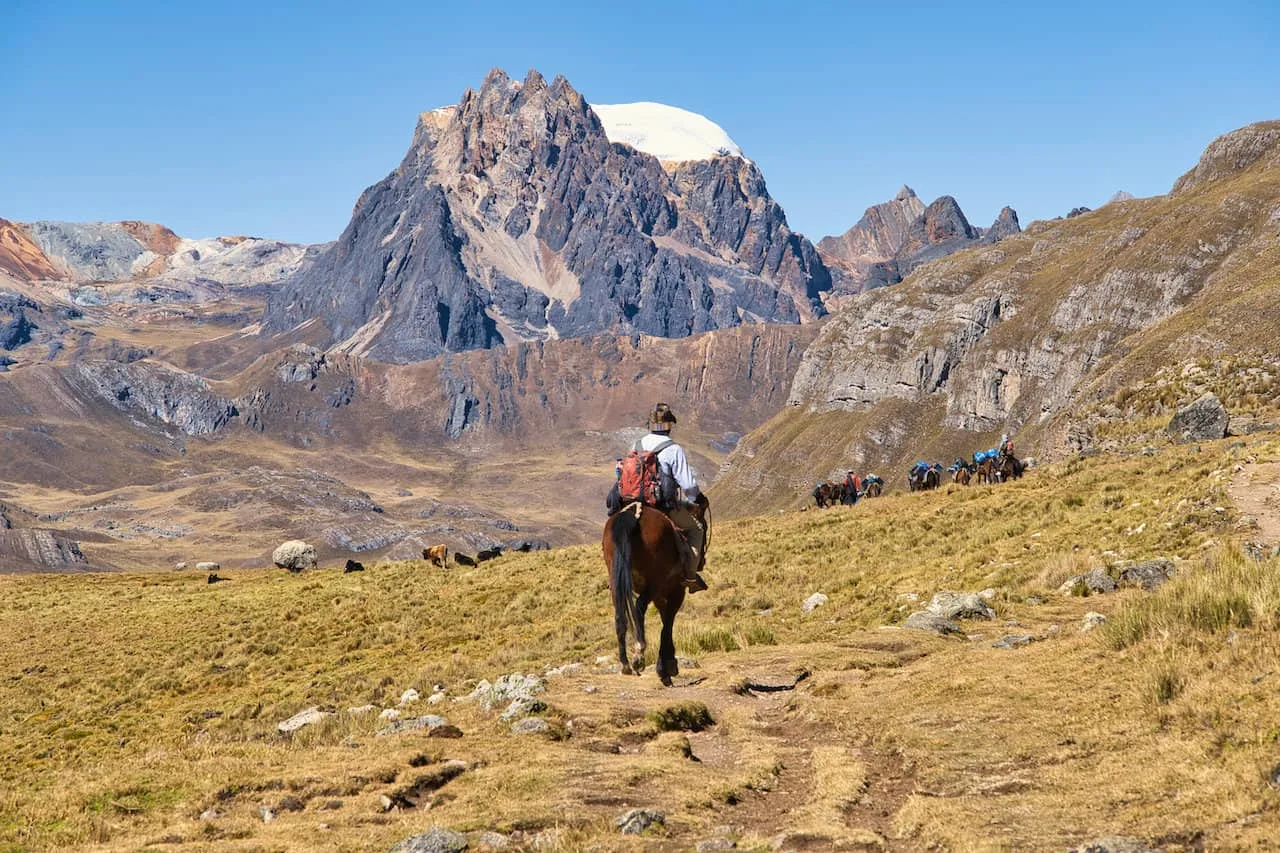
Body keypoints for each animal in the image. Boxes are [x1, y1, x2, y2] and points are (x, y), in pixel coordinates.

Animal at [601, 499, 706, 686]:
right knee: (639, 608)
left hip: (616, 581)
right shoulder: (675, 592)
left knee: (620, 615)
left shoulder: (660, 596)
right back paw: (638, 655)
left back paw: (625, 664)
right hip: (653, 584)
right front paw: (667, 668)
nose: (702, 561)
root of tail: (632, 513)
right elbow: (668, 623)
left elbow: (665, 622)